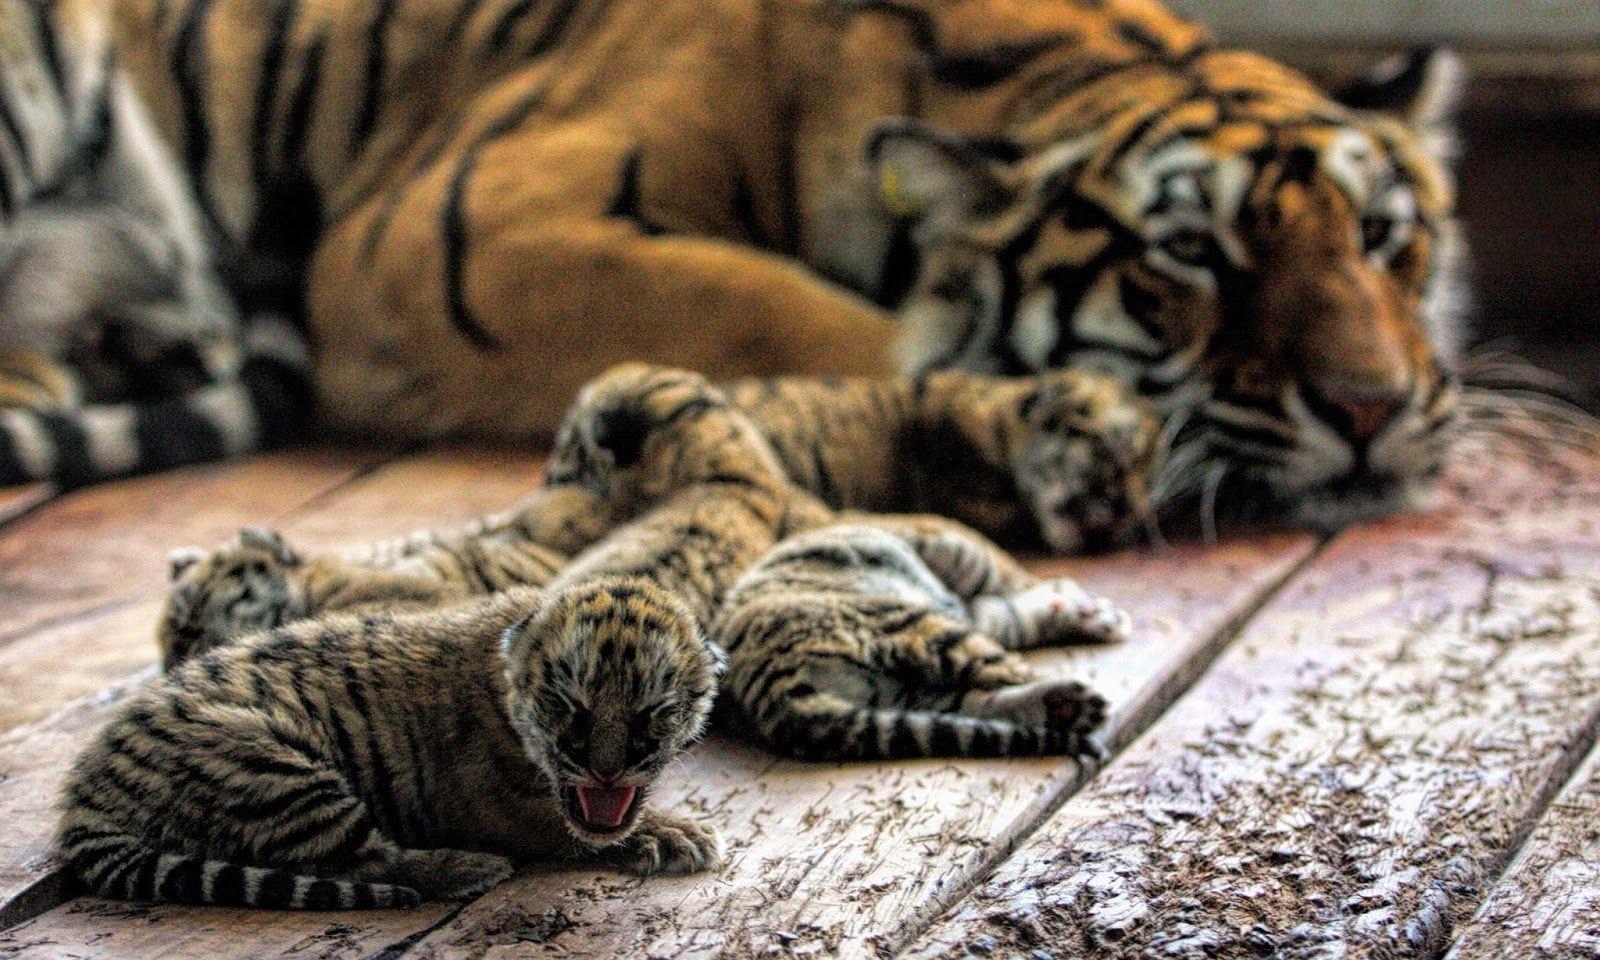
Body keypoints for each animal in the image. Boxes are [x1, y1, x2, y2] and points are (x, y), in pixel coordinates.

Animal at [56, 582, 724, 910]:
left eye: (652, 716)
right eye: (569, 710)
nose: (606, 772)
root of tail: (86, 793)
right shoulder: (504, 807)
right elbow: (571, 831)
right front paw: (676, 833)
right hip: (269, 767)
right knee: (364, 859)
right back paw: (468, 868)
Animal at [715, 518, 1128, 760]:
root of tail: (772, 692)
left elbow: (1012, 613)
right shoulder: (955, 555)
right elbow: (1009, 598)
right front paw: (1093, 613)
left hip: (901, 695)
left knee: (975, 702)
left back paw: (1064, 707)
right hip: (916, 628)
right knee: (1004, 672)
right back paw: (1078, 701)